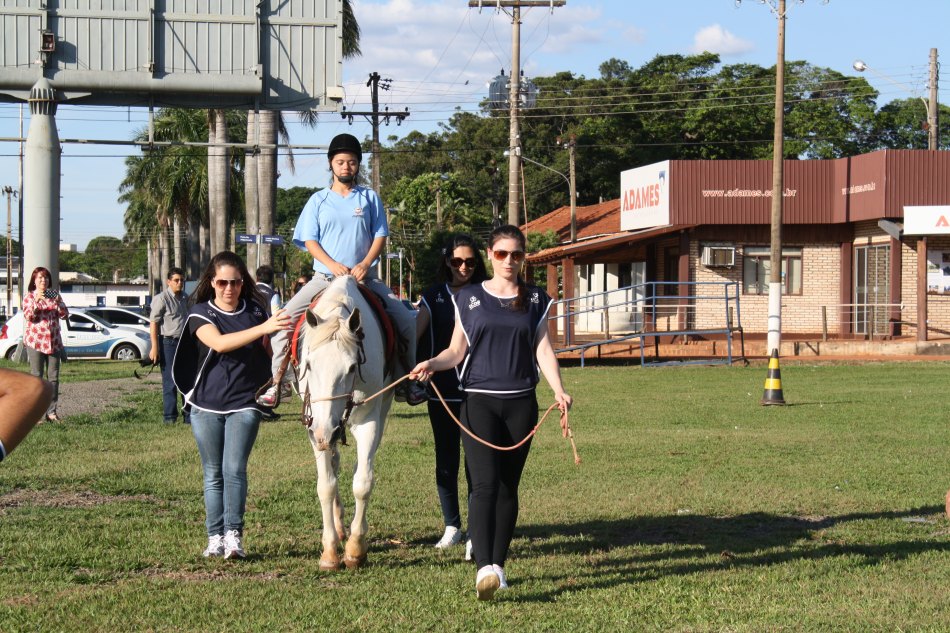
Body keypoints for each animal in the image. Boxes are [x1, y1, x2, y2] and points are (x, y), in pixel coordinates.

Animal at [295, 275, 395, 570]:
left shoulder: (368, 421)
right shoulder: (314, 427)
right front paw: (329, 551)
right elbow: (325, 486)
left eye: (351, 367)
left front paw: (355, 549)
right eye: (309, 365)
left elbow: (362, 482)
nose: (325, 431)